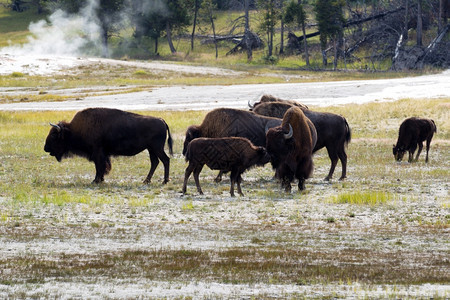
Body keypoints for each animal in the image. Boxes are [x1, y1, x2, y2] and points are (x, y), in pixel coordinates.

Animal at [44, 106, 173, 184]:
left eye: (54, 135)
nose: (45, 148)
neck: (73, 130)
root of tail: (162, 120)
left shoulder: (97, 153)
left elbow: (99, 166)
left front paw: (95, 180)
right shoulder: (103, 154)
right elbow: (101, 166)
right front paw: (100, 179)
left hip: (157, 148)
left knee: (165, 160)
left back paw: (164, 181)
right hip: (151, 149)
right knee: (155, 162)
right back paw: (146, 180)